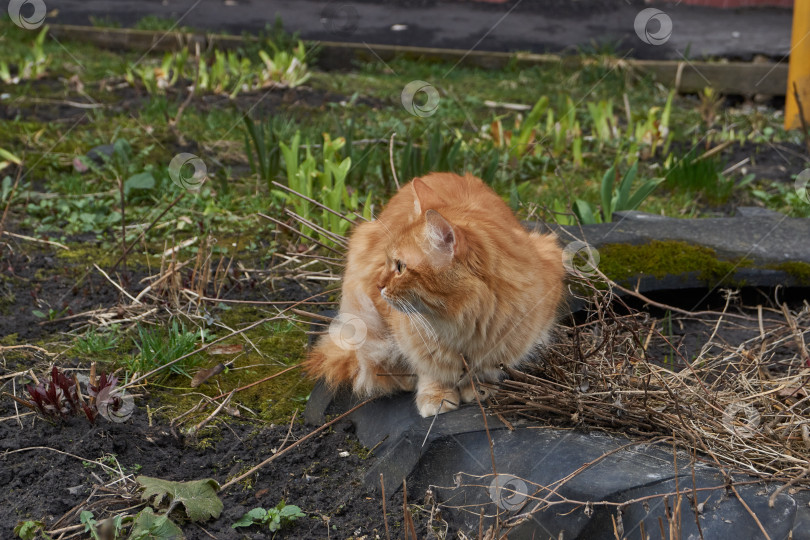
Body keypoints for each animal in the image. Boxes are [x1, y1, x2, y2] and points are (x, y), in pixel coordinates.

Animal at [304, 173, 560, 418]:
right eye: (388, 262)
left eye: (400, 267)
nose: (378, 285)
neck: (465, 322)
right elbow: (428, 368)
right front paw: (436, 395)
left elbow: (485, 366)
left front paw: (479, 386)